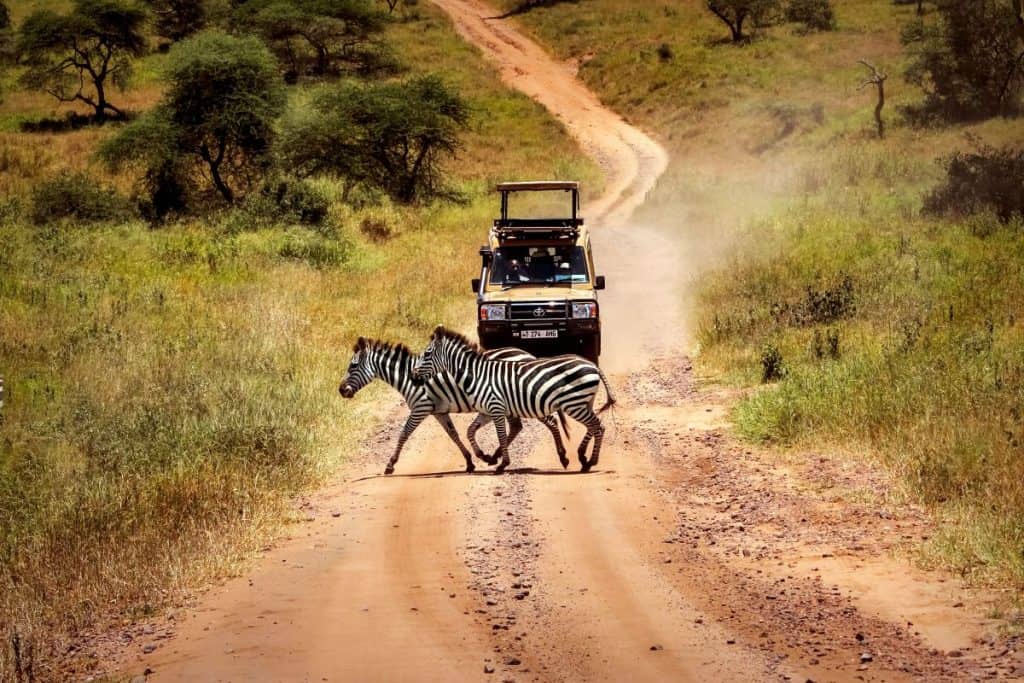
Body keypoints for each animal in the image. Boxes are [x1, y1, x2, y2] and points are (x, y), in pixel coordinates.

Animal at [339, 337, 569, 475]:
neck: (409, 378)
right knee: (517, 427)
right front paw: (470, 461)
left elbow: (404, 434)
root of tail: (527, 354)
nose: (341, 391)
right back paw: (495, 456)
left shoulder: (420, 408)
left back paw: (562, 456)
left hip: (525, 401)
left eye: (353, 366)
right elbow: (454, 434)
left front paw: (390, 464)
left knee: (550, 421)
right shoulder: (439, 412)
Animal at [413, 326, 616, 474]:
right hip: (584, 402)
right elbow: (471, 431)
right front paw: (485, 456)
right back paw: (580, 458)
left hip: (574, 403)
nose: (414, 375)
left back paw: (590, 462)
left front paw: (502, 464)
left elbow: (501, 436)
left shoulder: (496, 408)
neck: (477, 375)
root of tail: (592, 365)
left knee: (598, 426)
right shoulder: (486, 411)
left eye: (427, 354)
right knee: (594, 426)